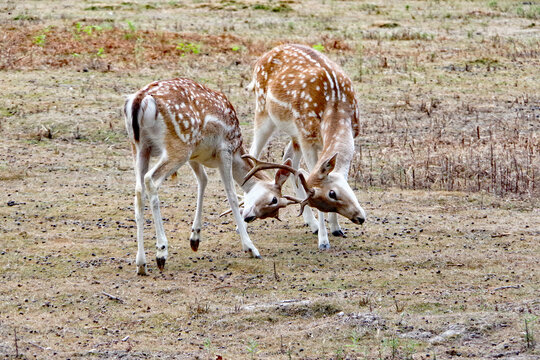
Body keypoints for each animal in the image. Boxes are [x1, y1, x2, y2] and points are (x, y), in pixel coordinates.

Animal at [123, 77, 300, 276]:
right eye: (274, 200)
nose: (250, 218)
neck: (238, 149)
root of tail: (140, 100)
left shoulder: (195, 155)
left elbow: (203, 180)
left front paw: (195, 238)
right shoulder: (225, 150)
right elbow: (231, 195)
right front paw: (251, 248)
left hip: (140, 146)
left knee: (138, 191)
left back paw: (141, 264)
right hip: (179, 145)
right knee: (150, 180)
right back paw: (161, 253)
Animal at [246, 43, 368, 250]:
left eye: (333, 193)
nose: (359, 218)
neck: (336, 104)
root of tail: (261, 58)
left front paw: (336, 229)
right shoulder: (307, 138)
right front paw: (324, 241)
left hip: (294, 133)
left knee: (289, 163)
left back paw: (312, 225)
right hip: (263, 110)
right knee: (253, 152)